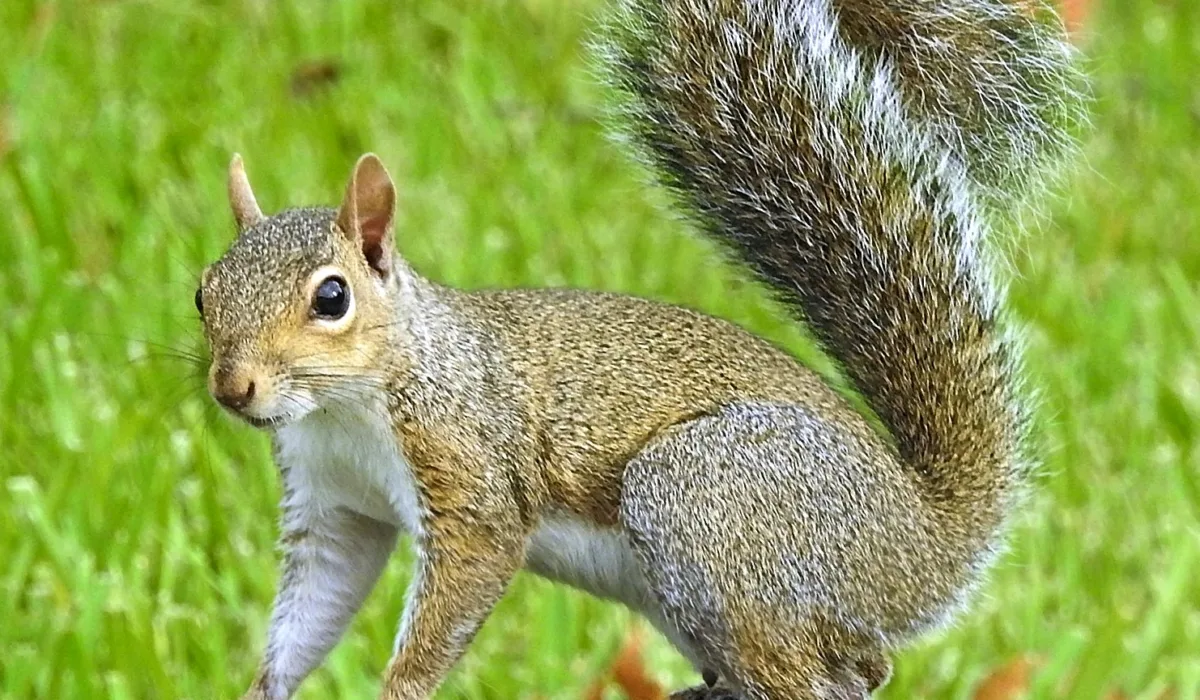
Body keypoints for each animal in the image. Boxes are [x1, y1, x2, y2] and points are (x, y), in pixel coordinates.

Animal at [196, 0, 1081, 697]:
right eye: (204, 292)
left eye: (332, 298)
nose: (233, 389)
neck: (344, 407)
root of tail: (924, 540)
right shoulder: (335, 507)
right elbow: (317, 603)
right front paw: (264, 688)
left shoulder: (468, 467)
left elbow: (469, 570)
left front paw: (402, 687)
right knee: (862, 669)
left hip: (710, 498)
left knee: (824, 679)